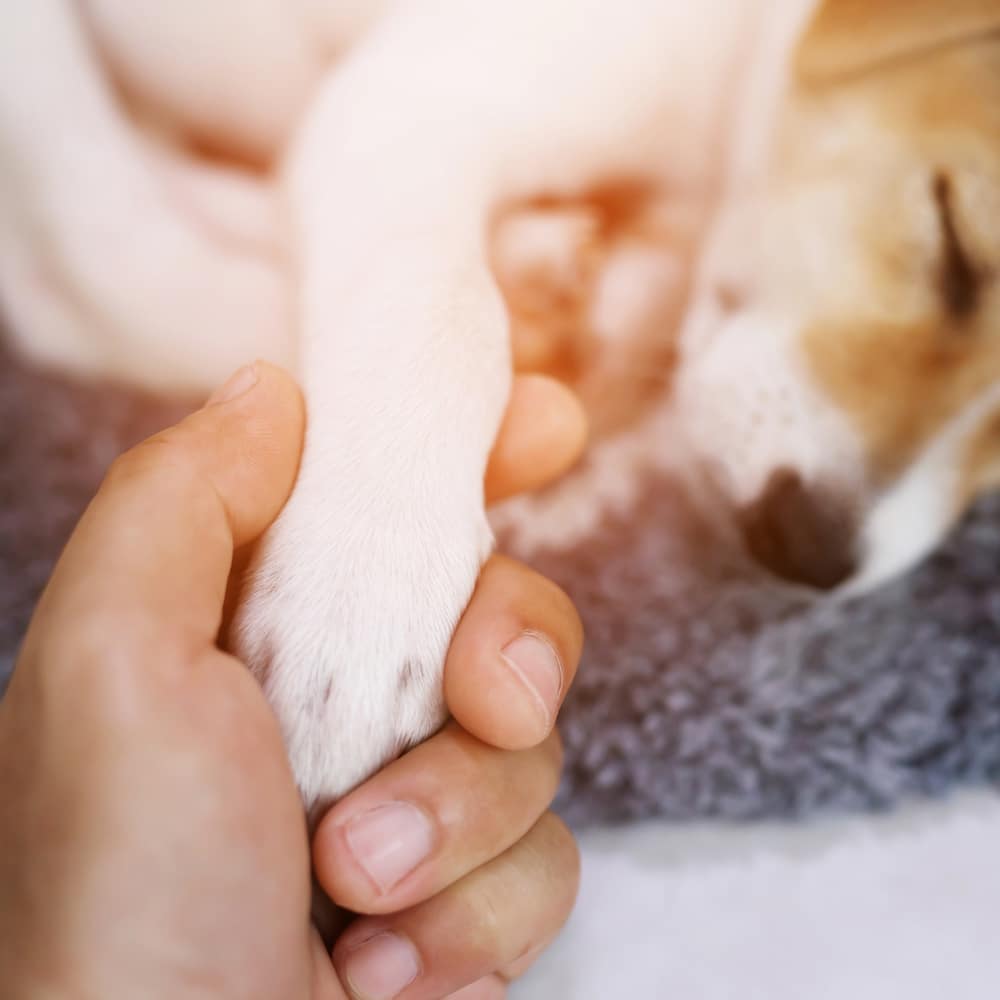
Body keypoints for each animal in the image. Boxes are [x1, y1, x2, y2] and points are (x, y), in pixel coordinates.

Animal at [1, 0, 1000, 820]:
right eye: (956, 243)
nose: (809, 547)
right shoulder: (408, 107)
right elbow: (442, 313)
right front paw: (364, 585)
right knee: (82, 249)